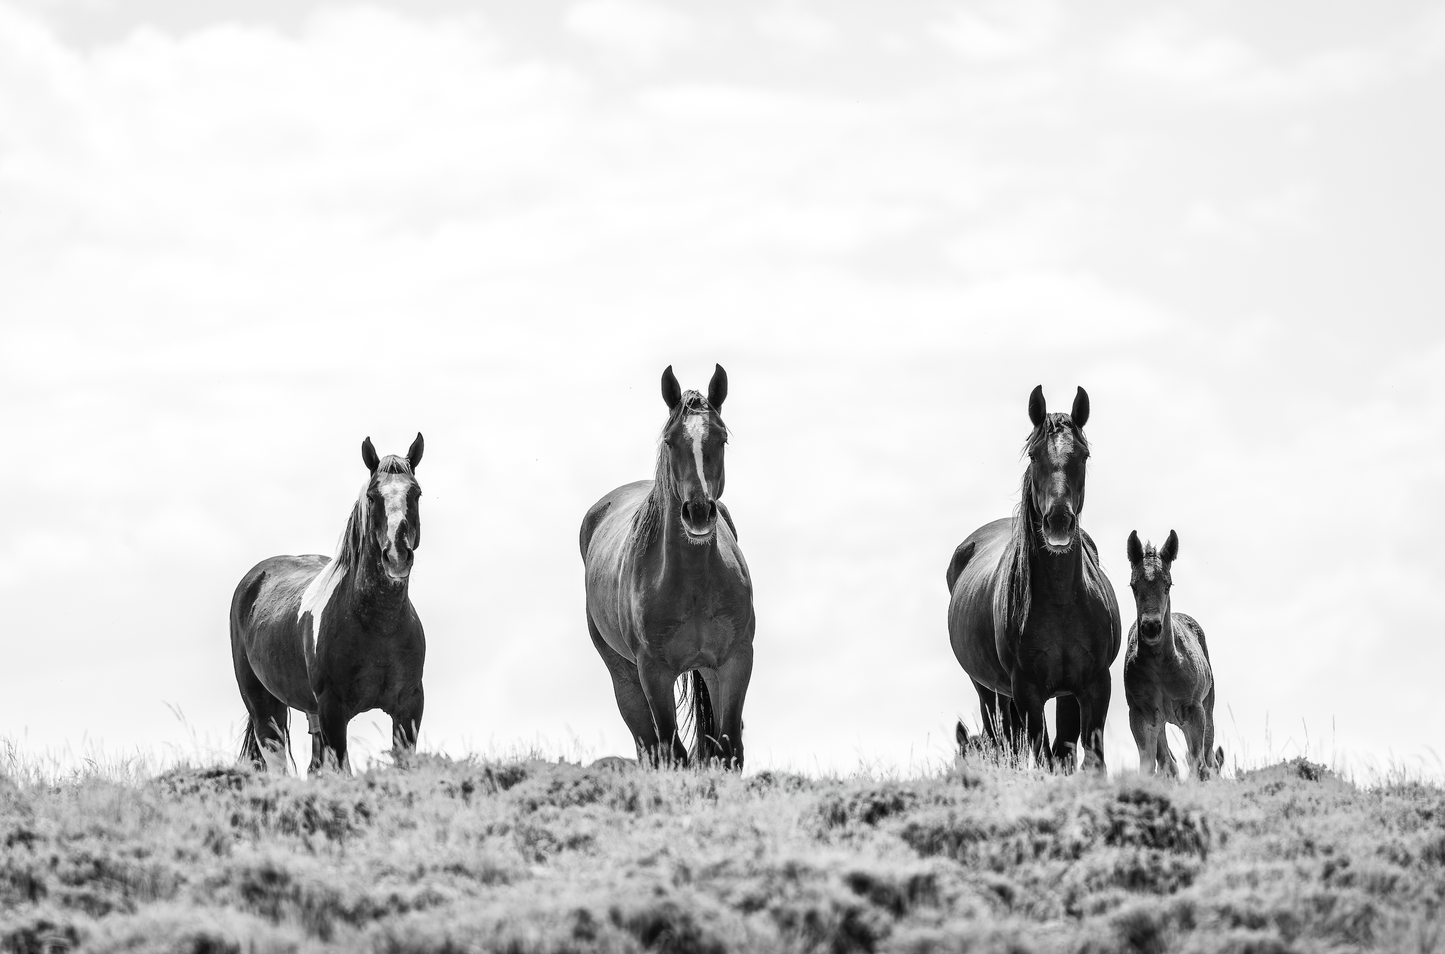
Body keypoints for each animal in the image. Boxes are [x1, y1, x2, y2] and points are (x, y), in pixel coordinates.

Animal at [230, 434, 426, 774]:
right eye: (372, 496)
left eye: (416, 493)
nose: (397, 556)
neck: (379, 626)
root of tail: (254, 579)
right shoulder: (334, 711)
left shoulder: (409, 707)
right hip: (265, 707)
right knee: (277, 762)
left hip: (311, 714)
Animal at [580, 364, 755, 768]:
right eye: (671, 440)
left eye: (721, 439)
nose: (698, 512)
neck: (693, 584)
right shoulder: (654, 673)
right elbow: (671, 751)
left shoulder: (735, 661)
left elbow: (727, 750)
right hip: (626, 677)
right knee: (651, 746)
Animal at [946, 386, 1121, 770]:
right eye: (1033, 455)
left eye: (1084, 455)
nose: (1058, 521)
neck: (1061, 601)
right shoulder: (1027, 691)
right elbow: (1042, 756)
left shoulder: (1093, 685)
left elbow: (1082, 756)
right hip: (989, 691)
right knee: (1005, 741)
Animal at [1124, 530, 1222, 780]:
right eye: (1133, 585)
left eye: (1167, 584)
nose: (1151, 628)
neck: (1163, 666)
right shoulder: (1141, 715)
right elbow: (1151, 766)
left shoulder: (1194, 712)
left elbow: (1198, 763)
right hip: (1161, 723)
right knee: (1169, 762)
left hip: (1208, 708)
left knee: (1209, 760)